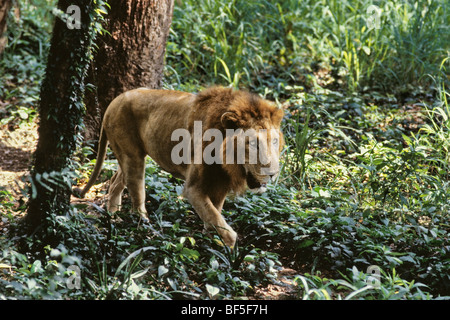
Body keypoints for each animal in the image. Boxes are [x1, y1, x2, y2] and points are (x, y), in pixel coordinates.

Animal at [75, 87, 284, 248]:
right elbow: (215, 217)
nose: (273, 174)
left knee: (115, 180)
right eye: (253, 144)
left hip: (126, 155)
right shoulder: (194, 187)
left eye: (274, 141)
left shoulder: (220, 184)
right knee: (136, 191)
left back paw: (112, 215)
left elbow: (214, 214)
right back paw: (144, 224)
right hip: (133, 156)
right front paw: (229, 248)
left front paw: (211, 240)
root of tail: (113, 102)